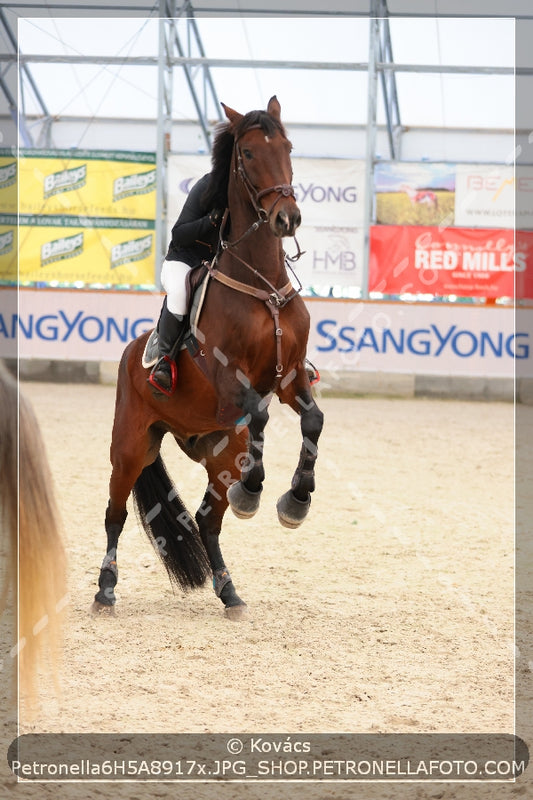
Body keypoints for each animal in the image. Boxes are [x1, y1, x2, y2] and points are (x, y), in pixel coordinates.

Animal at [92, 98, 324, 620]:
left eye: (288, 147)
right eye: (250, 153)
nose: (287, 219)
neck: (262, 287)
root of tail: (132, 350)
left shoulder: (290, 378)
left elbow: (313, 420)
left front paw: (296, 500)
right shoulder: (229, 380)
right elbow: (260, 413)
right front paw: (255, 494)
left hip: (218, 448)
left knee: (206, 519)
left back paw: (229, 591)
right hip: (130, 446)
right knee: (115, 515)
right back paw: (105, 591)